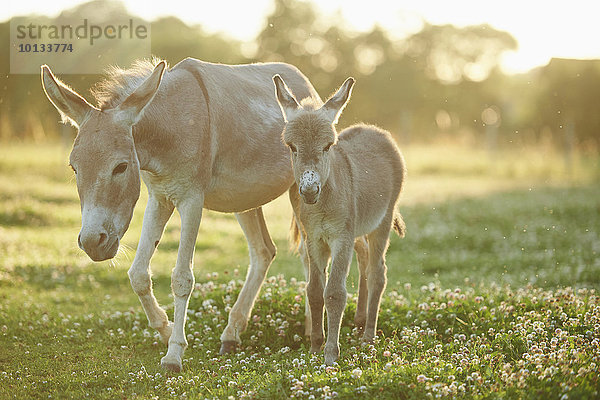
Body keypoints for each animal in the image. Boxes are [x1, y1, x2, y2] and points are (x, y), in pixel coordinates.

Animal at [274, 73, 406, 364]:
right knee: (365, 260)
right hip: (358, 229)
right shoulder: (314, 238)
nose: (309, 191)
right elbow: (314, 290)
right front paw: (315, 346)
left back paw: (368, 335)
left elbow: (334, 293)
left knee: (378, 272)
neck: (322, 204)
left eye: (327, 146)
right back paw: (359, 320)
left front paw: (331, 355)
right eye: (292, 147)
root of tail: (373, 129)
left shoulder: (340, 238)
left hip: (381, 221)